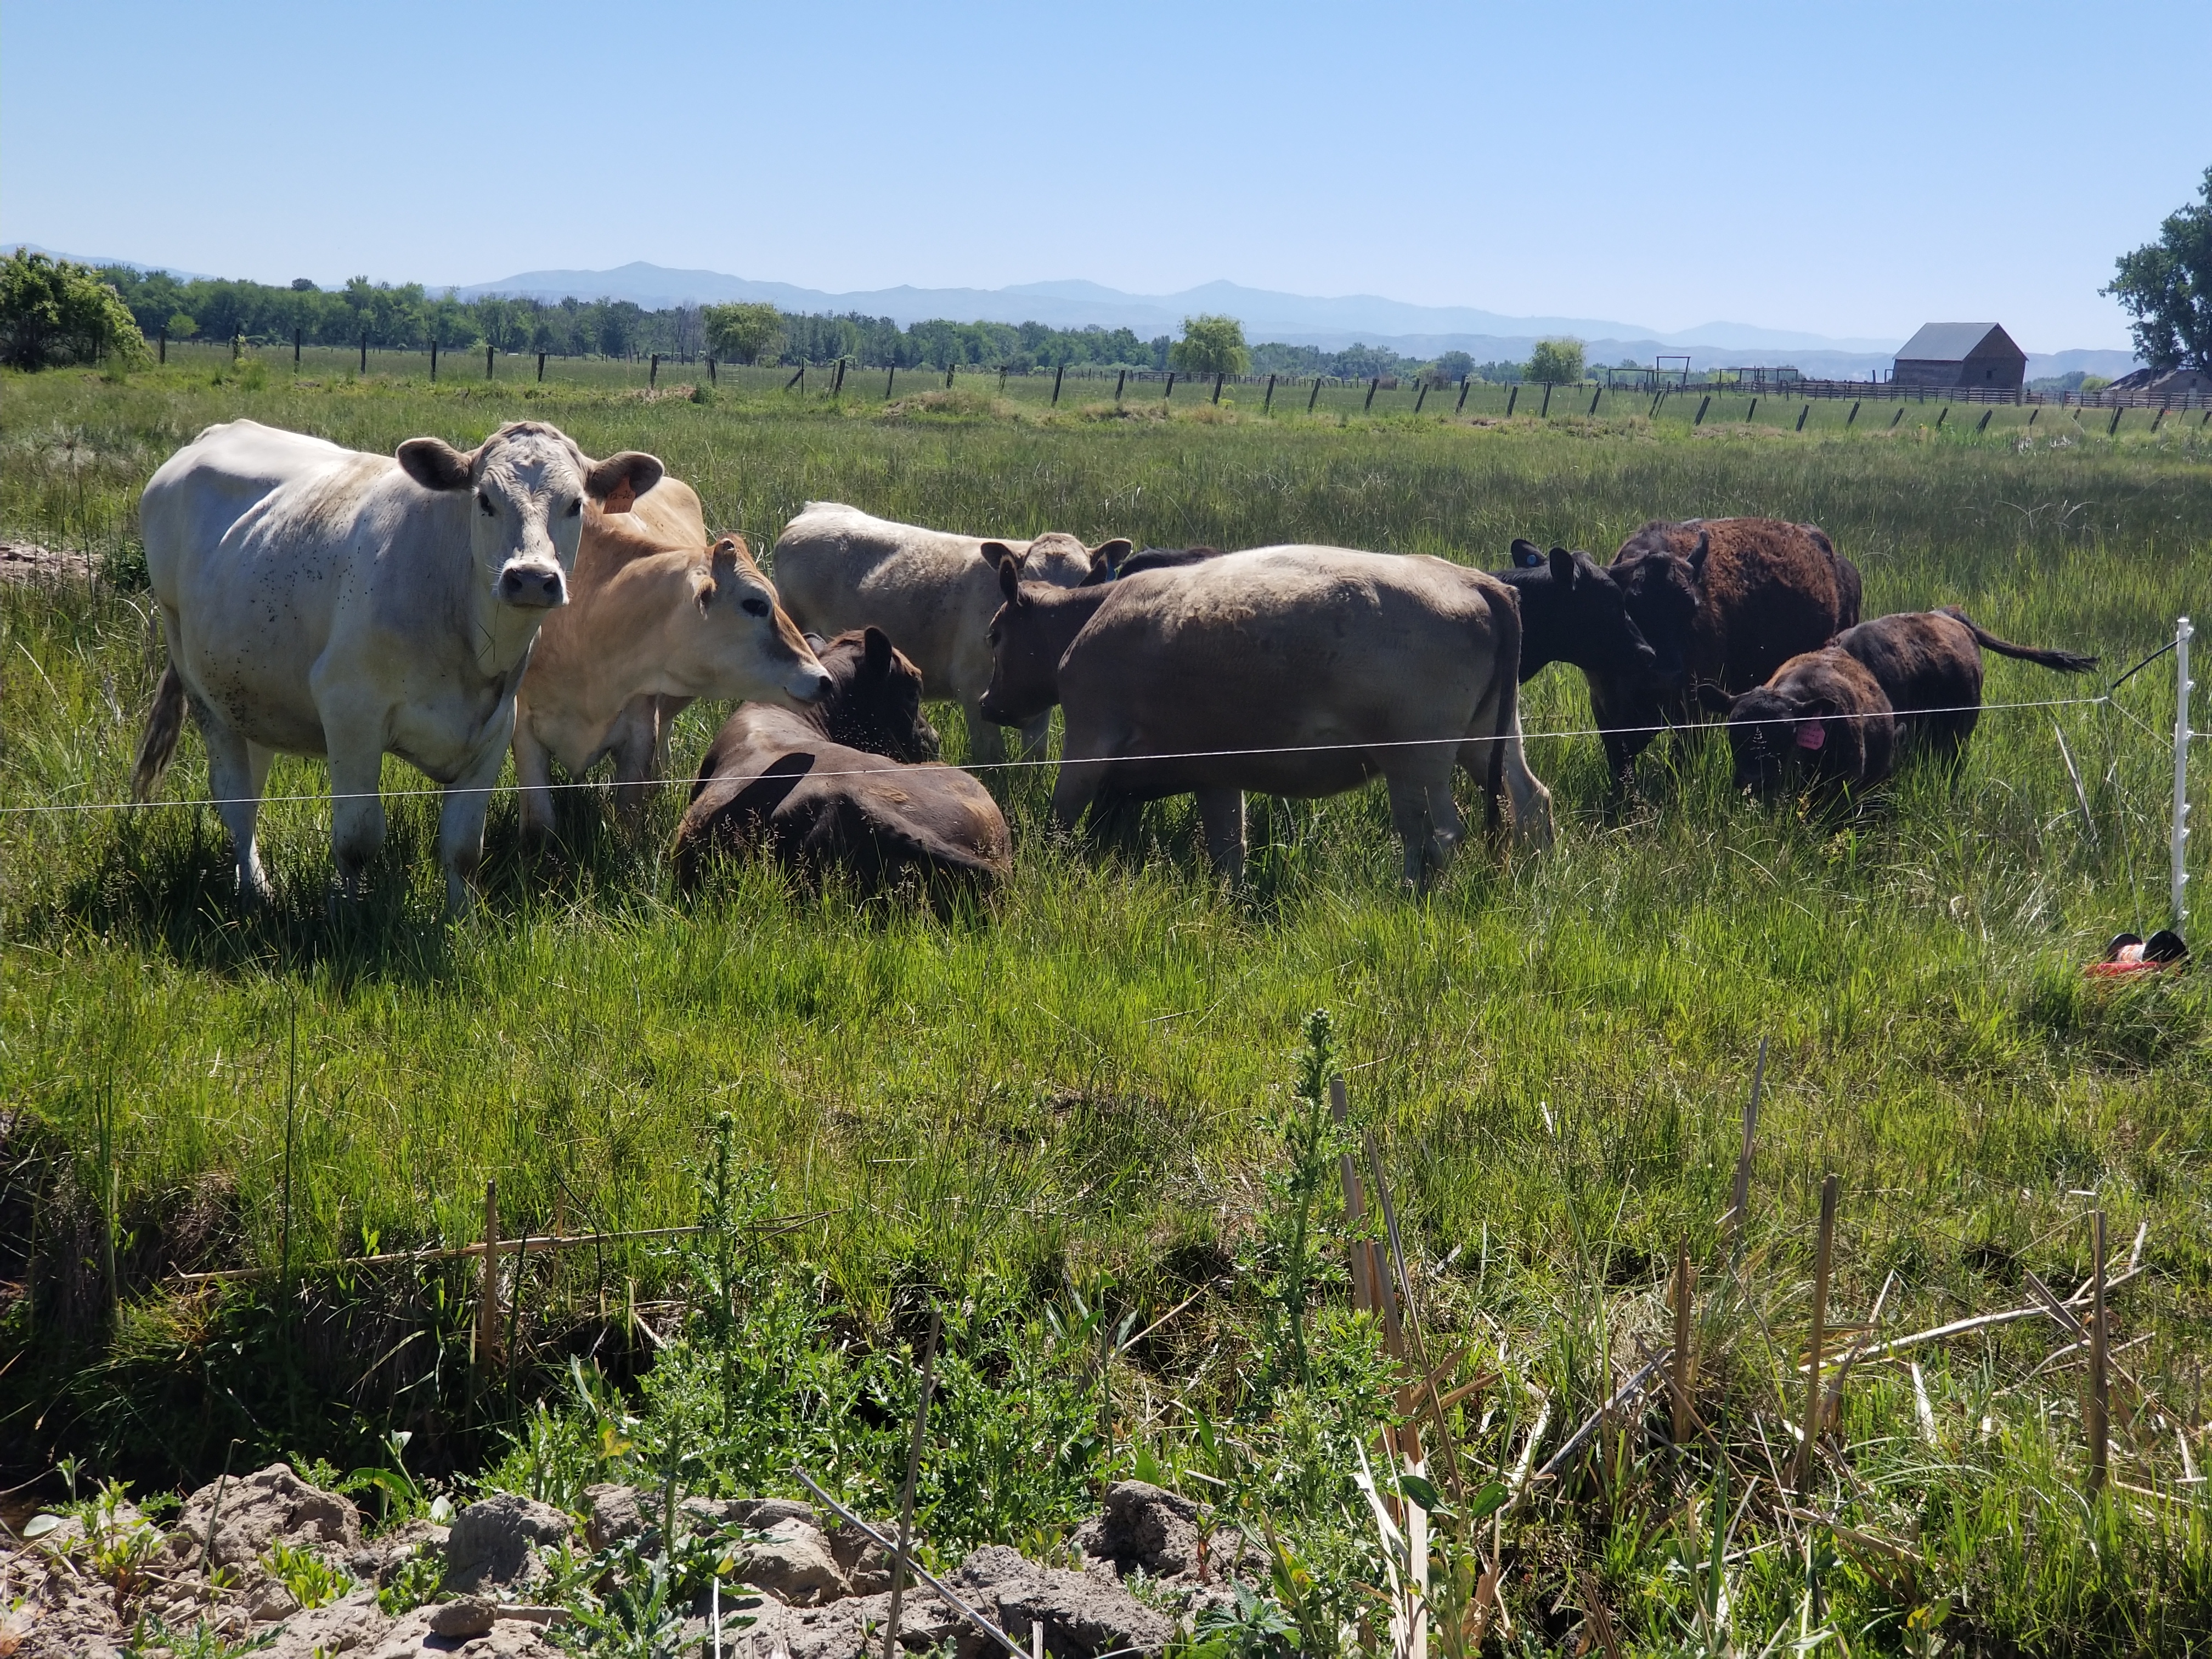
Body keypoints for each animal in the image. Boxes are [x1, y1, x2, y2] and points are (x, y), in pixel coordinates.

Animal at [131, 418, 663, 912]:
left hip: (248, 691)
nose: (531, 578)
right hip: (199, 684)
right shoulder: (350, 713)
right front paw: (350, 916)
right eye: (485, 500)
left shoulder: (495, 728)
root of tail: (218, 431)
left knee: (253, 781)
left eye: (575, 504)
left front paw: (463, 920)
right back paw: (254, 892)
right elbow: (357, 840)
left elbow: (464, 848)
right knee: (235, 800)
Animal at [511, 474, 830, 842]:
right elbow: (540, 824)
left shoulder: (641, 730)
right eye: (756, 604)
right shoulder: (523, 728)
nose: (823, 679)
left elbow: (629, 814)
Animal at [769, 502, 1130, 763]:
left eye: (1089, 581)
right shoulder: (973, 688)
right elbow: (992, 757)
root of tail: (817, 508)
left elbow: (1035, 756)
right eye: (1025, 579)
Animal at [979, 545, 1552, 886]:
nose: (988, 702)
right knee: (1530, 800)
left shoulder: (1088, 742)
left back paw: (1412, 892)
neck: (1093, 615)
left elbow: (1060, 817)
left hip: (1417, 760)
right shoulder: (1212, 773)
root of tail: (1477, 582)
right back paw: (1536, 877)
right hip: (1485, 742)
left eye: (995, 634)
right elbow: (1228, 846)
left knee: (1435, 833)